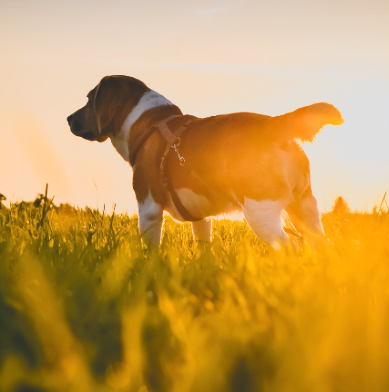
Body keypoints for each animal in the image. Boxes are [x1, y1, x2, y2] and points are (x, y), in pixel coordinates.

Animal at [66, 75, 342, 250]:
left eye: (90, 99)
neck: (148, 122)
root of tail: (274, 125)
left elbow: (151, 251)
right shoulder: (200, 218)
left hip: (261, 212)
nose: (68, 118)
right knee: (321, 245)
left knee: (293, 248)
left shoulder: (148, 209)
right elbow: (203, 249)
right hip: (305, 208)